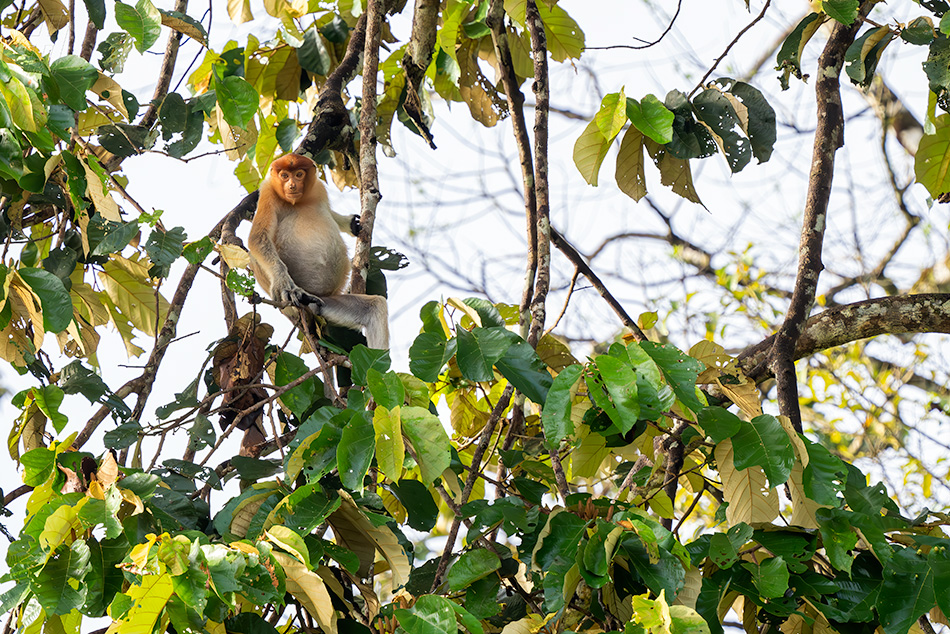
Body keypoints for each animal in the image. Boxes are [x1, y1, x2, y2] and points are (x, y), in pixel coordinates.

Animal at [251, 154, 392, 350]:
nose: (292, 186)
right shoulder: (267, 192)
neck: (300, 201)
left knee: (375, 306)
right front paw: (285, 285)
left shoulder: (318, 188)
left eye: (299, 174)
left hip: (327, 303)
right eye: (285, 176)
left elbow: (330, 214)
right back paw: (299, 297)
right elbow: (258, 238)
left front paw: (351, 224)